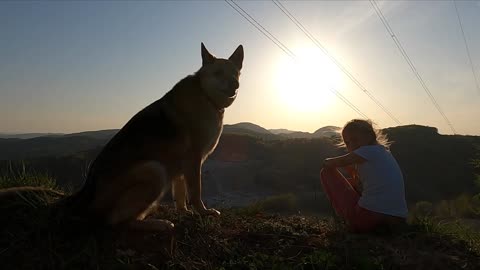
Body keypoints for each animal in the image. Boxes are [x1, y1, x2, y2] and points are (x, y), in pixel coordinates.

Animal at [64, 42, 244, 232]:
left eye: (235, 73)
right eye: (218, 73)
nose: (236, 84)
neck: (205, 94)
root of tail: (86, 200)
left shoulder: (183, 165)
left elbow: (180, 194)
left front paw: (184, 212)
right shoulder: (193, 160)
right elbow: (196, 192)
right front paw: (203, 212)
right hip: (155, 170)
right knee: (117, 221)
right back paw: (159, 224)